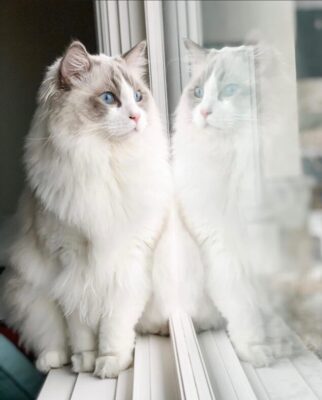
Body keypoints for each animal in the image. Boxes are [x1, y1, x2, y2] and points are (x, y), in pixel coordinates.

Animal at [0, 40, 171, 378]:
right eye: (108, 98)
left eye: (138, 97)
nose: (136, 117)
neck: (105, 164)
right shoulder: (70, 265)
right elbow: (80, 328)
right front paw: (86, 362)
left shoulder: (129, 262)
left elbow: (114, 327)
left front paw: (111, 363)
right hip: (27, 292)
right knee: (48, 338)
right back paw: (54, 360)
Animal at [140, 39, 296, 366]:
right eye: (198, 92)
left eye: (230, 90)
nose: (204, 112)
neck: (237, 160)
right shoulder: (222, 248)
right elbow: (246, 309)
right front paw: (256, 349)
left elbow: (270, 309)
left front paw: (279, 343)